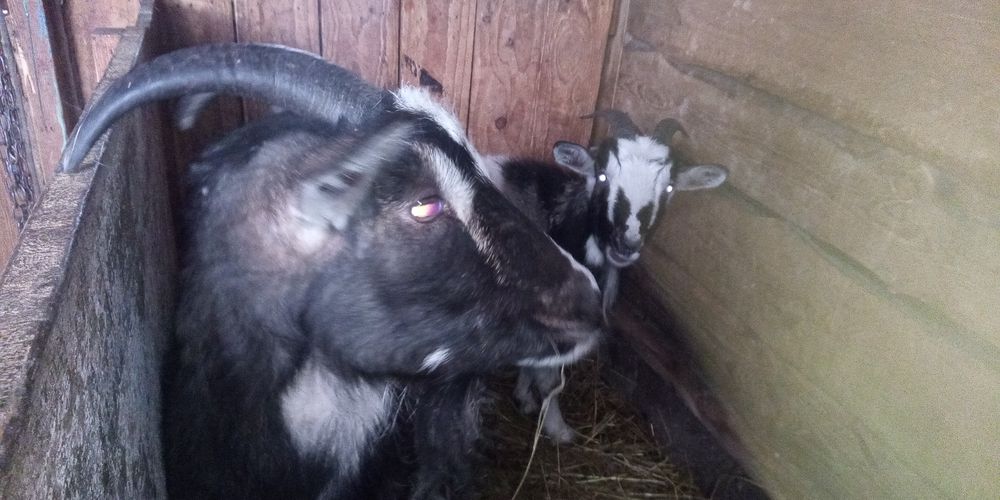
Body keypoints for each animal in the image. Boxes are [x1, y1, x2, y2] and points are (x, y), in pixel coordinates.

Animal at [488, 111, 728, 443]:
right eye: (602, 175)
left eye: (668, 188)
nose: (626, 243)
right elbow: (550, 379)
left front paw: (524, 398)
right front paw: (560, 431)